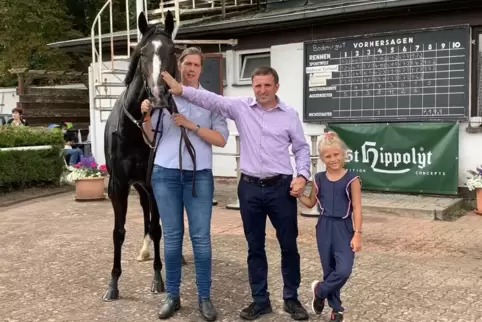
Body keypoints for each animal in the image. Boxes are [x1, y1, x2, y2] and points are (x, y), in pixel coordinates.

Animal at [102, 10, 194, 302]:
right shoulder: (118, 185)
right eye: (142, 52)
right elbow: (118, 232)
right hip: (140, 186)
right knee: (145, 212)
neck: (134, 130)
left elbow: (157, 228)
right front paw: (113, 284)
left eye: (172, 50)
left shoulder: (155, 182)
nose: (158, 96)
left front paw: (158, 278)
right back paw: (144, 251)